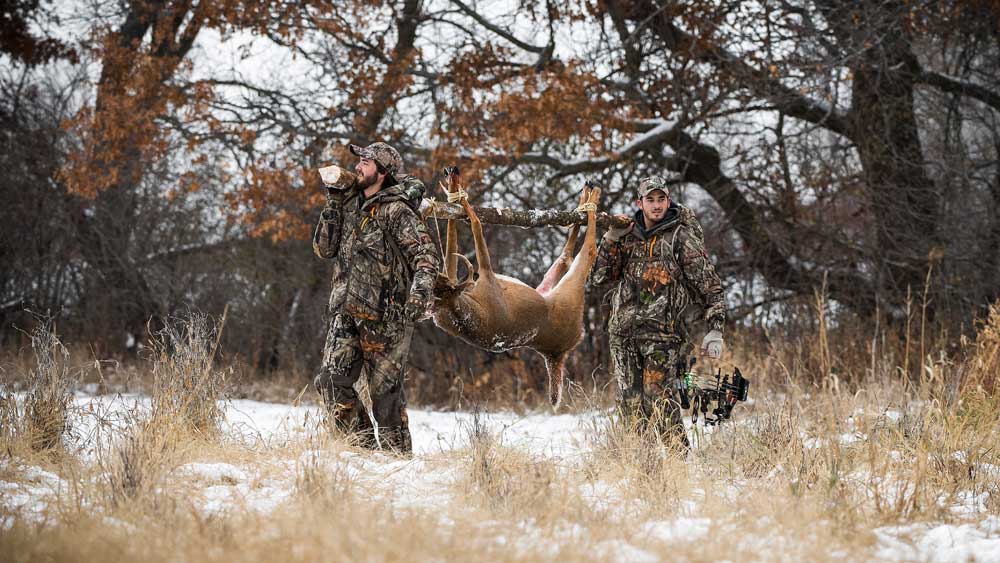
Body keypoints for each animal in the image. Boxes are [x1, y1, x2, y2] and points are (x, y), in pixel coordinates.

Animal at [432, 169, 600, 410]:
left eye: (439, 283)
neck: (466, 310)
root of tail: (556, 353)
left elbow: (455, 242)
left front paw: (454, 191)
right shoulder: (487, 278)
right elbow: (477, 224)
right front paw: (461, 197)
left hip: (548, 290)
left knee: (565, 256)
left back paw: (583, 202)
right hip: (570, 294)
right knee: (587, 251)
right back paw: (592, 199)